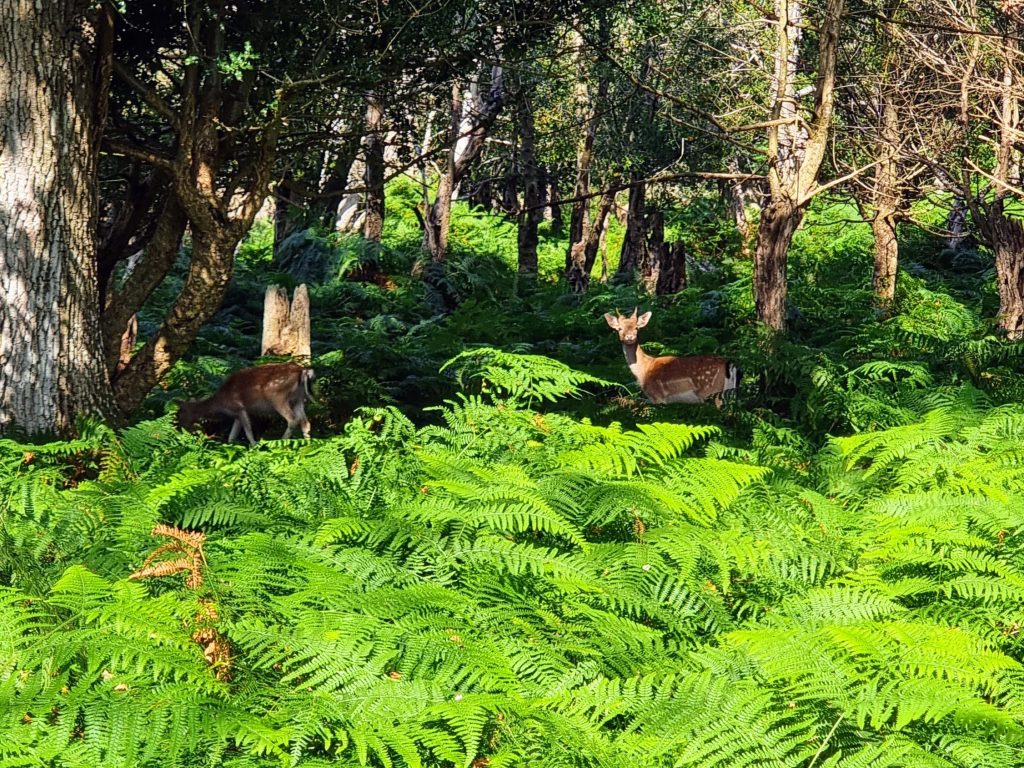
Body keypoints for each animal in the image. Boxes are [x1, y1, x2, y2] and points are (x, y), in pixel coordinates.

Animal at [177, 362, 315, 445]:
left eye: (179, 413)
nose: (178, 428)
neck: (220, 403)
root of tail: (303, 370)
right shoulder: (237, 414)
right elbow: (231, 436)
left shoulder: (240, 408)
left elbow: (248, 431)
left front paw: (254, 447)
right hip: (298, 398)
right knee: (305, 421)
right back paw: (308, 444)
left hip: (276, 395)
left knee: (292, 419)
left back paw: (282, 441)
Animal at [604, 309, 739, 406]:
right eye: (619, 328)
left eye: (636, 327)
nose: (630, 337)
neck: (643, 370)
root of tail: (729, 364)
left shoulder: (657, 397)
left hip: (711, 390)